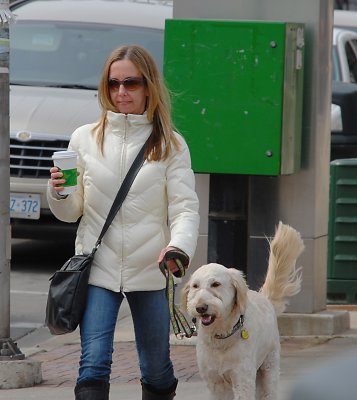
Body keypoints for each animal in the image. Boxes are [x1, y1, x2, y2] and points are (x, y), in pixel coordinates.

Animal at [181, 222, 304, 400]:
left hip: (269, 366)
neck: (221, 338)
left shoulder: (242, 378)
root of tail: (264, 297)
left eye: (216, 284)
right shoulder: (215, 382)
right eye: (195, 286)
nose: (200, 307)